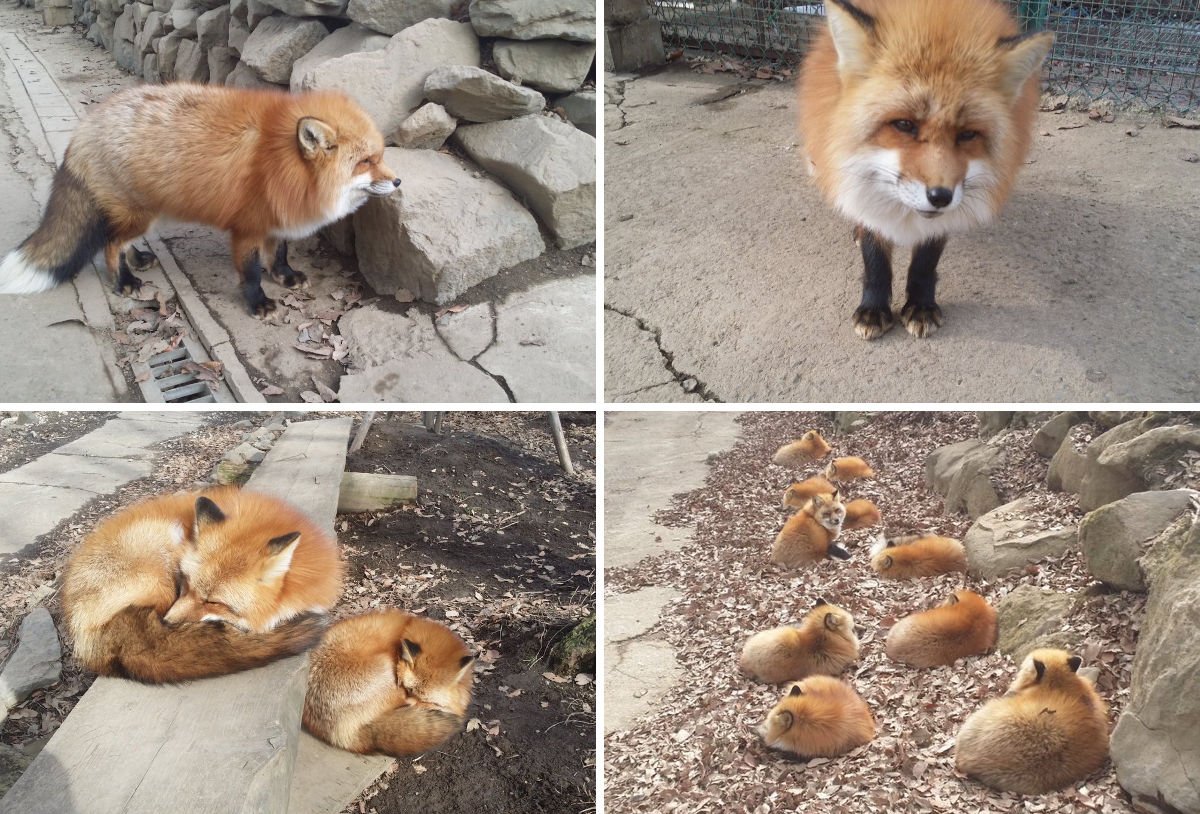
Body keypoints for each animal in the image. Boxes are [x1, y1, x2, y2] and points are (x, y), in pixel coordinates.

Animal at [0, 83, 400, 318]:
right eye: (366, 162)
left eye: (380, 156)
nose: (398, 181)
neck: (281, 164)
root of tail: (84, 126)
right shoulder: (247, 228)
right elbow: (252, 272)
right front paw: (258, 303)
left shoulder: (278, 215)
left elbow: (280, 252)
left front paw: (285, 276)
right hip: (140, 215)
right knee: (110, 245)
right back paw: (124, 281)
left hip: (146, 213)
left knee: (121, 241)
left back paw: (139, 259)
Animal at [798, 0, 1054, 339]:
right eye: (904, 124)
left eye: (967, 134)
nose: (941, 197)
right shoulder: (861, 179)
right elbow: (874, 258)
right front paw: (874, 309)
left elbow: (925, 262)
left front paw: (920, 306)